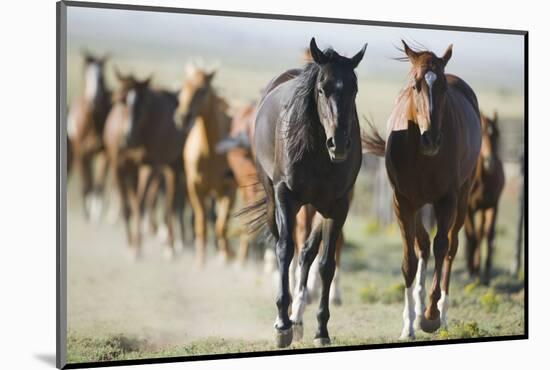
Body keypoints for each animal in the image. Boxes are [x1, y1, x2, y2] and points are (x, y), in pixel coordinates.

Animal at [67, 51, 112, 221]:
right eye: (86, 75)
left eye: (102, 77)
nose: (94, 100)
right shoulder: (81, 153)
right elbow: (87, 186)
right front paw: (87, 215)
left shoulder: (103, 154)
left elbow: (98, 186)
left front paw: (95, 215)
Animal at [177, 63, 237, 266]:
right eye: (183, 86)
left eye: (202, 90)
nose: (183, 116)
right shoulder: (195, 187)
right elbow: (201, 225)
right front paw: (200, 262)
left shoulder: (230, 190)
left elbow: (221, 226)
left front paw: (227, 257)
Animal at [244, 39, 368, 348]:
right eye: (322, 88)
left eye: (354, 88)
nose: (339, 143)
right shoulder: (285, 197)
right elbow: (285, 249)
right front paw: (281, 324)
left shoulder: (337, 206)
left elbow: (325, 264)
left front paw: (321, 329)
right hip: (273, 201)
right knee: (284, 247)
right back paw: (288, 316)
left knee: (308, 253)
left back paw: (298, 317)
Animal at [366, 40, 484, 338]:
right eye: (415, 85)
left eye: (442, 87)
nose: (431, 139)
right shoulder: (402, 202)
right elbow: (410, 259)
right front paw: (409, 323)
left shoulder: (447, 200)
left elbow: (442, 247)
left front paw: (430, 315)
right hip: (418, 204)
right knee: (423, 244)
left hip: (462, 200)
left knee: (451, 248)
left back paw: (442, 315)